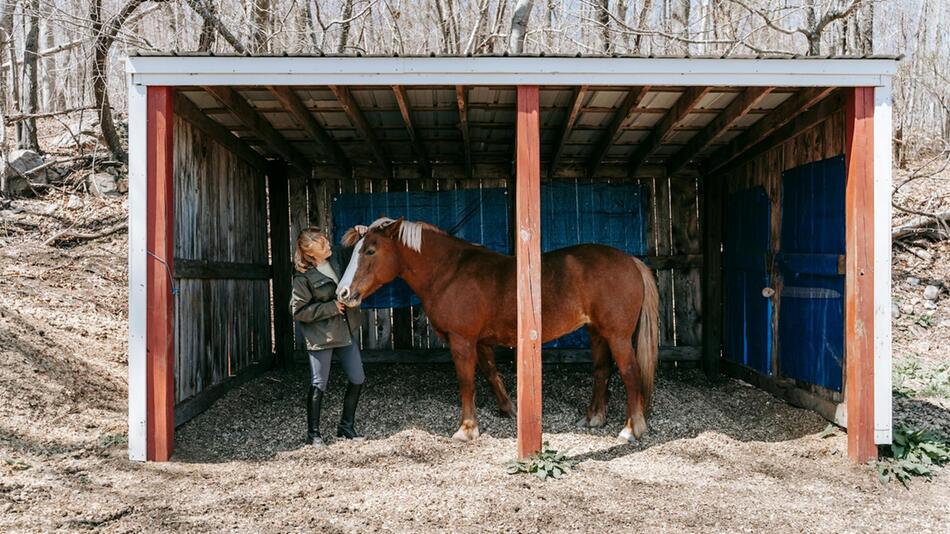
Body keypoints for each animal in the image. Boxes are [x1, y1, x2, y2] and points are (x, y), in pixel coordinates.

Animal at [338, 217, 660, 444]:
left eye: (370, 251)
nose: (343, 293)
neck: (449, 271)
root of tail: (631, 260)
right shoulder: (480, 342)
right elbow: (491, 374)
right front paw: (510, 410)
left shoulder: (462, 340)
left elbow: (466, 382)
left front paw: (467, 429)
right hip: (597, 332)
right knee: (602, 371)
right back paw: (593, 418)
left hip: (618, 336)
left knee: (630, 373)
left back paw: (631, 429)